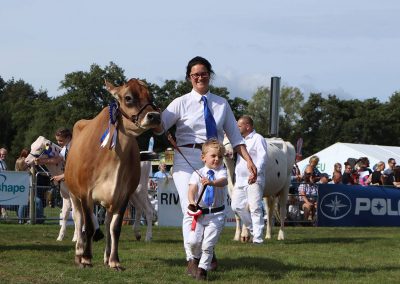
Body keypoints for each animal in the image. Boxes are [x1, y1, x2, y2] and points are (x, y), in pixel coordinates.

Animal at [65, 79, 160, 270]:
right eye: (128, 97)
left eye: (150, 96)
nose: (154, 115)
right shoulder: (86, 193)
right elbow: (89, 226)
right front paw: (86, 258)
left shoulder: (123, 194)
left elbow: (115, 228)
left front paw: (114, 260)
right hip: (73, 194)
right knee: (78, 220)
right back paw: (79, 253)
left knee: (109, 223)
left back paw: (107, 256)